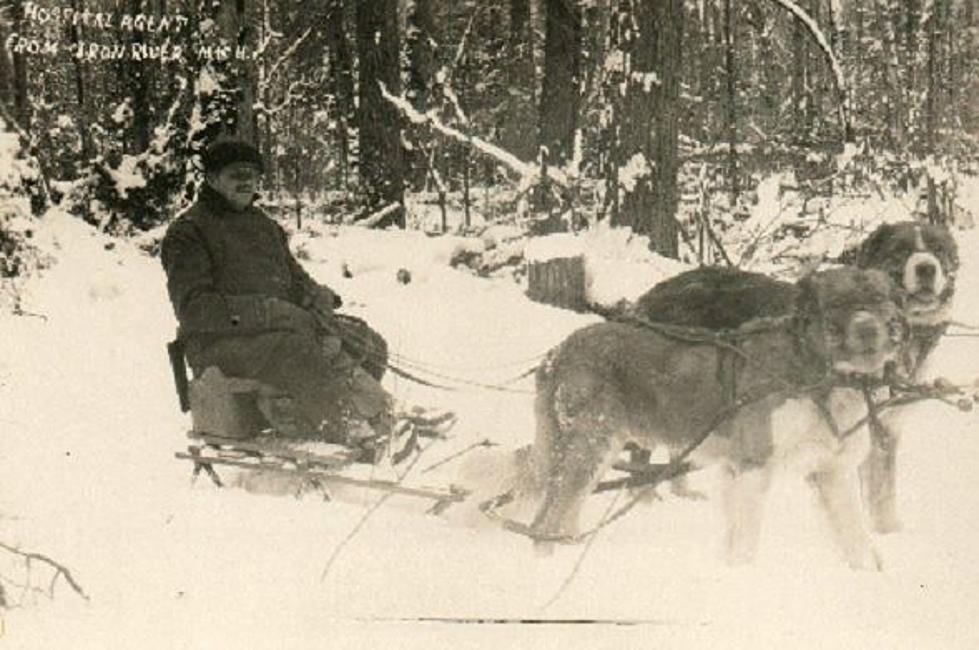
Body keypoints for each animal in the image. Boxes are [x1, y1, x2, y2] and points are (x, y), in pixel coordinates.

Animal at [532, 266, 908, 564]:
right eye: (837, 304)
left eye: (878, 299)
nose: (869, 329)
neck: (818, 370)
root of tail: (558, 351)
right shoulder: (753, 467)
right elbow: (745, 546)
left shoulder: (833, 473)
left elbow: (857, 544)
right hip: (589, 447)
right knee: (544, 523)